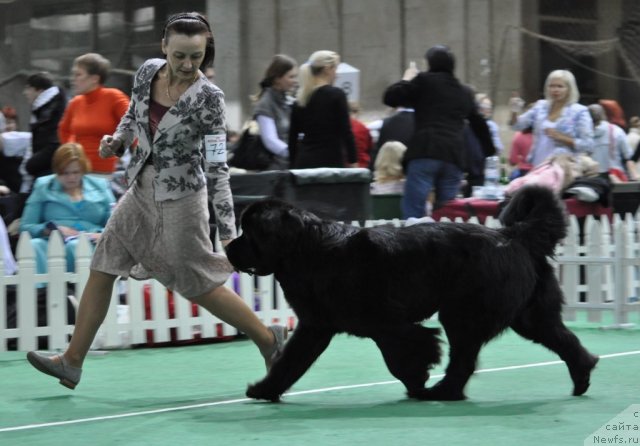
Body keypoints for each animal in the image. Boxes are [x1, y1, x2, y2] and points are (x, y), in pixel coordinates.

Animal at [224, 186, 596, 402]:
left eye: (249, 232)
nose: (227, 248)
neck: (308, 250)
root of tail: (515, 235)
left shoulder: (387, 323)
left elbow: (404, 354)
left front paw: (417, 380)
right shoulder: (316, 326)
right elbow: (291, 361)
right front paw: (265, 389)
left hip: (464, 313)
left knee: (464, 357)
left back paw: (442, 392)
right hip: (529, 315)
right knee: (564, 340)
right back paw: (582, 376)